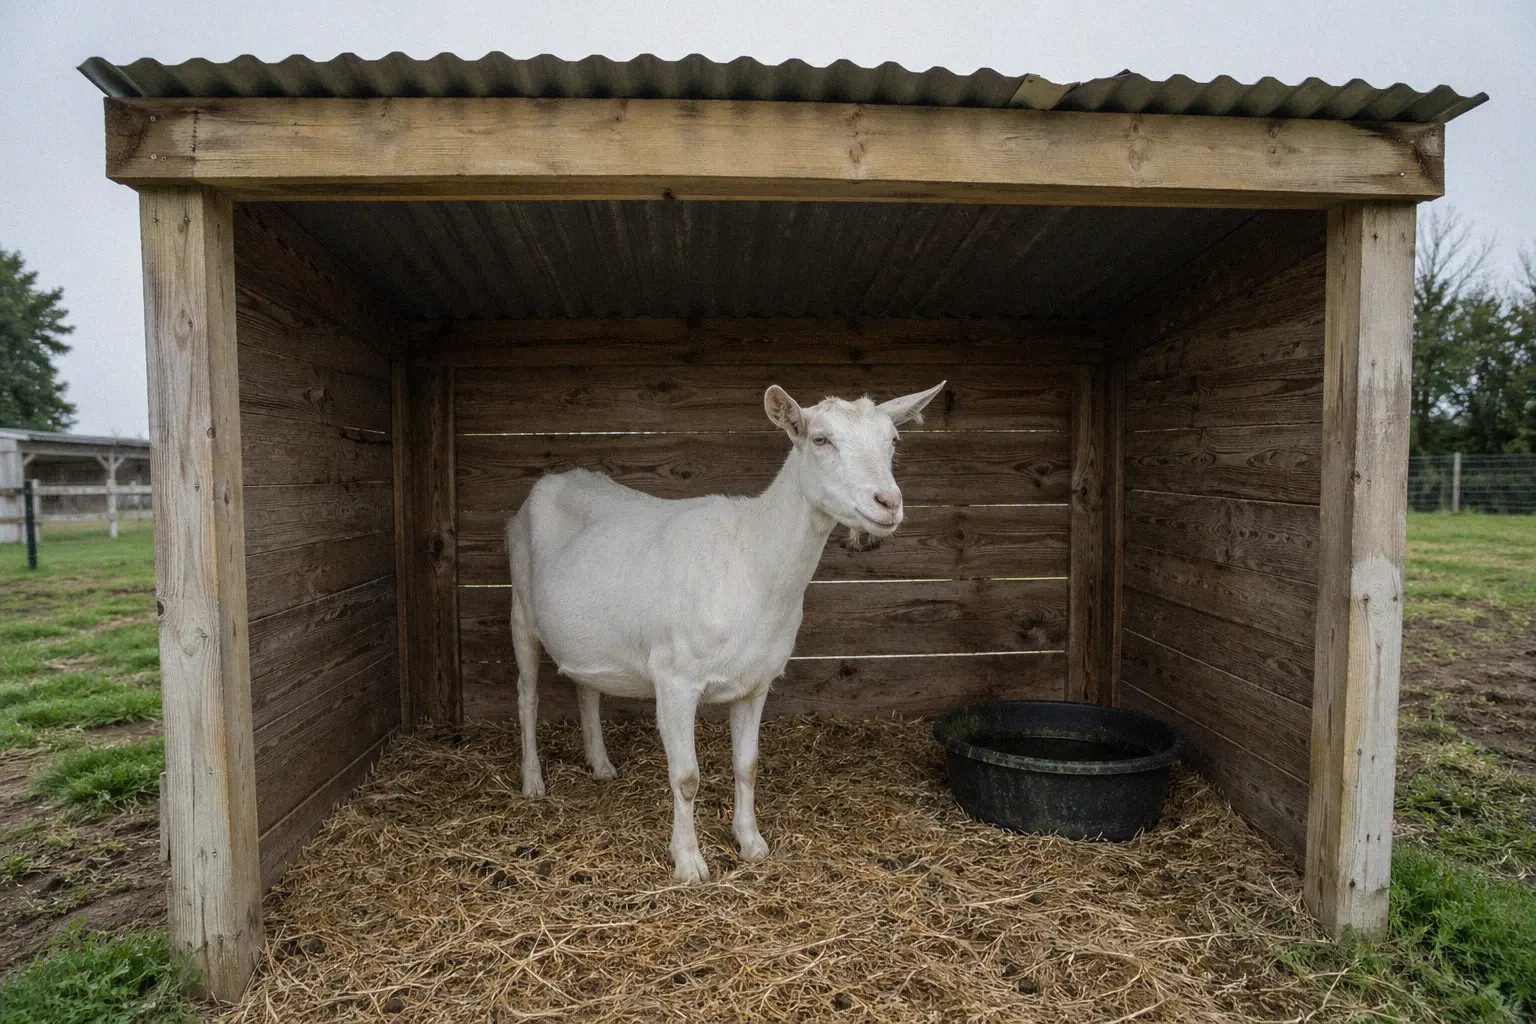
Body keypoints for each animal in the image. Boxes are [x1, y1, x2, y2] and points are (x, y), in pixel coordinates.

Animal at [504, 381, 945, 881]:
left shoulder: (756, 682)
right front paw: (689, 862)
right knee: (527, 694)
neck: (750, 560)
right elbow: (686, 777)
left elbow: (747, 765)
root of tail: (550, 482)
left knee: (586, 687)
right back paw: (533, 781)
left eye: (893, 441)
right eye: (820, 440)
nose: (888, 503)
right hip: (521, 608)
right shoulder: (675, 679)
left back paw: (601, 765)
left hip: (590, 632)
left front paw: (751, 842)